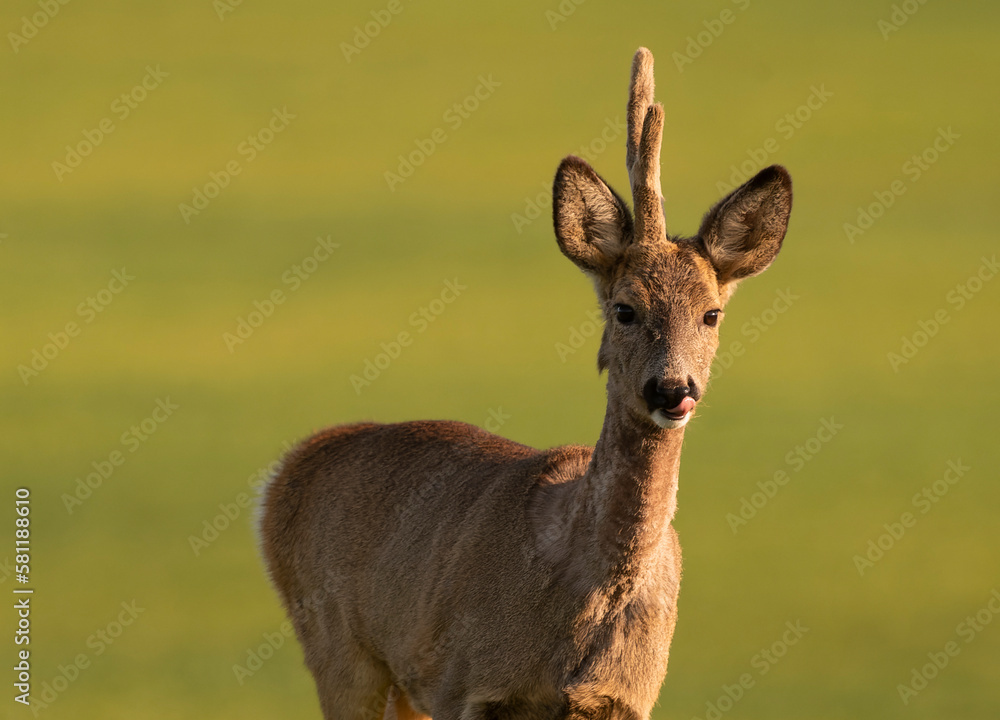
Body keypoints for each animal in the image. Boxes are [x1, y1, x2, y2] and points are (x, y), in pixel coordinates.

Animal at [262, 47, 792, 716]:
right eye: (625, 309)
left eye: (712, 313)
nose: (673, 390)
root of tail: (286, 470)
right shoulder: (469, 681)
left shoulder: (629, 697)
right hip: (337, 645)